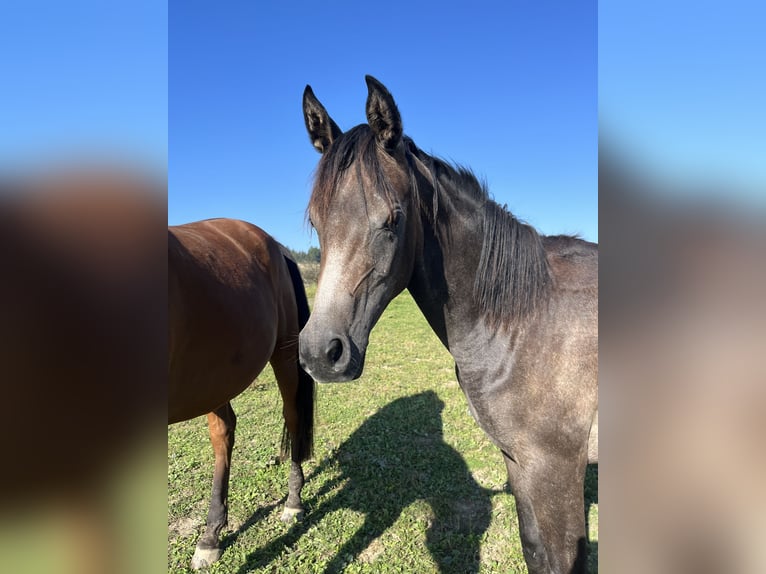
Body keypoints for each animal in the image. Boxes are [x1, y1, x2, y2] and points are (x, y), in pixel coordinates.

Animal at [300, 77, 600, 574]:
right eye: (316, 221)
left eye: (393, 219)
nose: (321, 354)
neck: (520, 320)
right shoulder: (519, 463)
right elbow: (535, 551)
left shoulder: (556, 470)